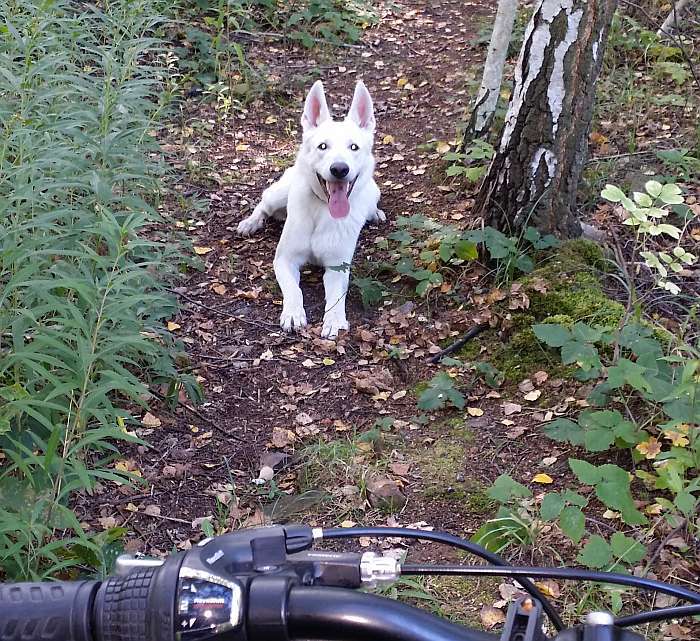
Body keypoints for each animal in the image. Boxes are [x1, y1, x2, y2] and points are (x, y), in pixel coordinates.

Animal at [239, 79, 382, 338]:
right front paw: (293, 313)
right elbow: (294, 290)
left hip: (372, 193)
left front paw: (334, 320)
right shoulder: (284, 260)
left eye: (354, 147)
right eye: (322, 146)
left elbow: (336, 297)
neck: (323, 211)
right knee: (264, 203)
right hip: (278, 195)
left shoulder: (338, 267)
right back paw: (251, 222)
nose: (339, 169)